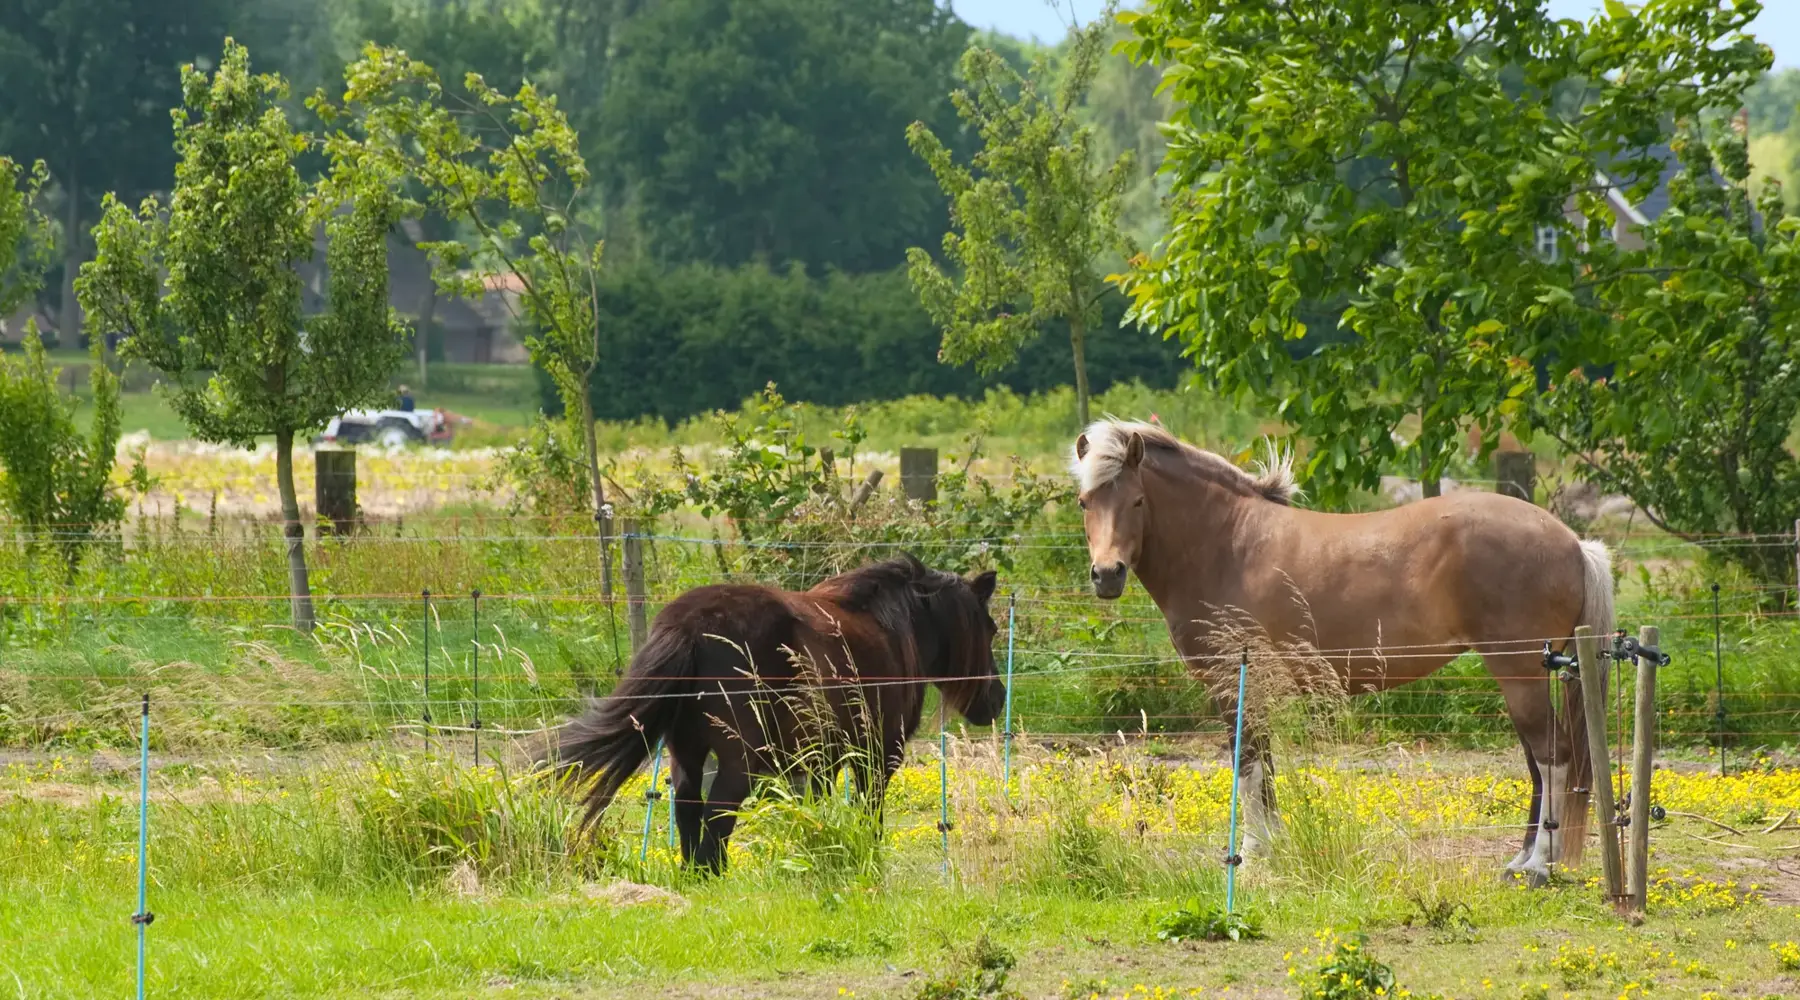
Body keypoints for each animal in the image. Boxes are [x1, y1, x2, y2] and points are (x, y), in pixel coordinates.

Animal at [550, 554, 1006, 871]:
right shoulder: (878, 756)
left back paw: (696, 876)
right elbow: (870, 816)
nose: (998, 698)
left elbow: (822, 810)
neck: (895, 627)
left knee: (688, 809)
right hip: (739, 761)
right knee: (717, 817)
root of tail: (688, 626)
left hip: (688, 755)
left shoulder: (823, 760)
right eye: (991, 628)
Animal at [1070, 420, 1612, 885]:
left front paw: (1250, 855)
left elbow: (1247, 766)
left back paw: (1539, 866)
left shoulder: (1234, 683)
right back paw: (1519, 860)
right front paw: (1273, 847)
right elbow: (1264, 768)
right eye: (1083, 502)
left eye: (1138, 501)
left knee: (1553, 758)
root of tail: (1573, 542)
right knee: (1537, 764)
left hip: (1518, 673)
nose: (1107, 574)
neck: (1226, 545)